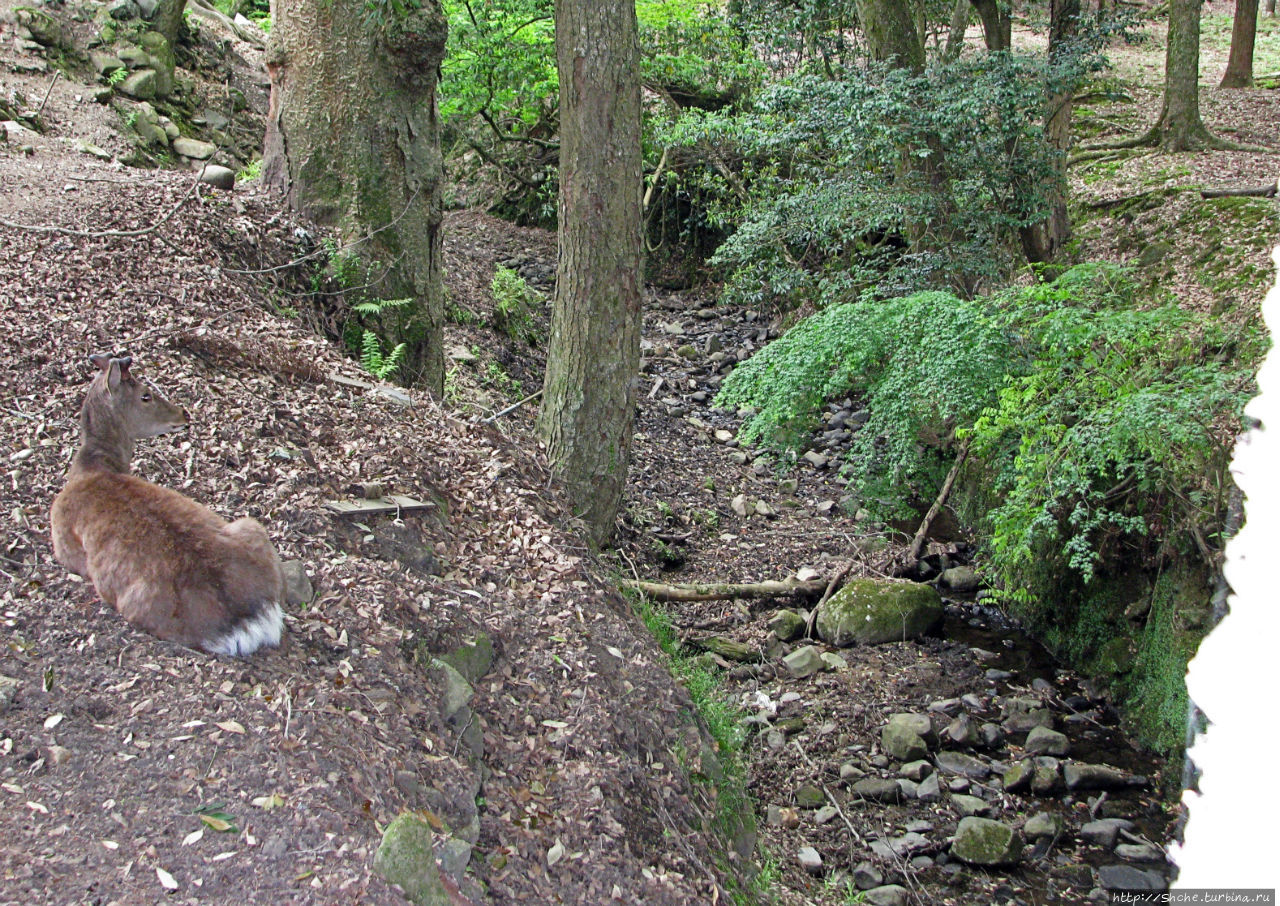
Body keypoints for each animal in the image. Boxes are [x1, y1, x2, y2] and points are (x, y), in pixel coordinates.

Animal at [50, 353, 285, 660]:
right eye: (145, 395)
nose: (183, 413)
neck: (91, 469)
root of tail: (245, 620)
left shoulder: (61, 544)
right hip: (251, 525)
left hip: (138, 606)